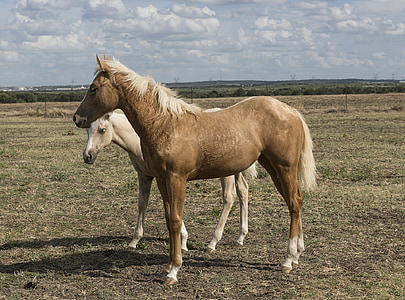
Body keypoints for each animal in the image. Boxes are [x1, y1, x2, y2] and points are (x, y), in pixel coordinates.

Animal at [83, 109, 258, 251]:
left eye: (102, 130)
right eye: (88, 130)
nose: (87, 156)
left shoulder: (166, 176)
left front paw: (183, 241)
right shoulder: (144, 175)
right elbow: (142, 203)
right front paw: (134, 241)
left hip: (226, 173)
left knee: (229, 197)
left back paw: (213, 242)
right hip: (235, 169)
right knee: (243, 190)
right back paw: (240, 237)